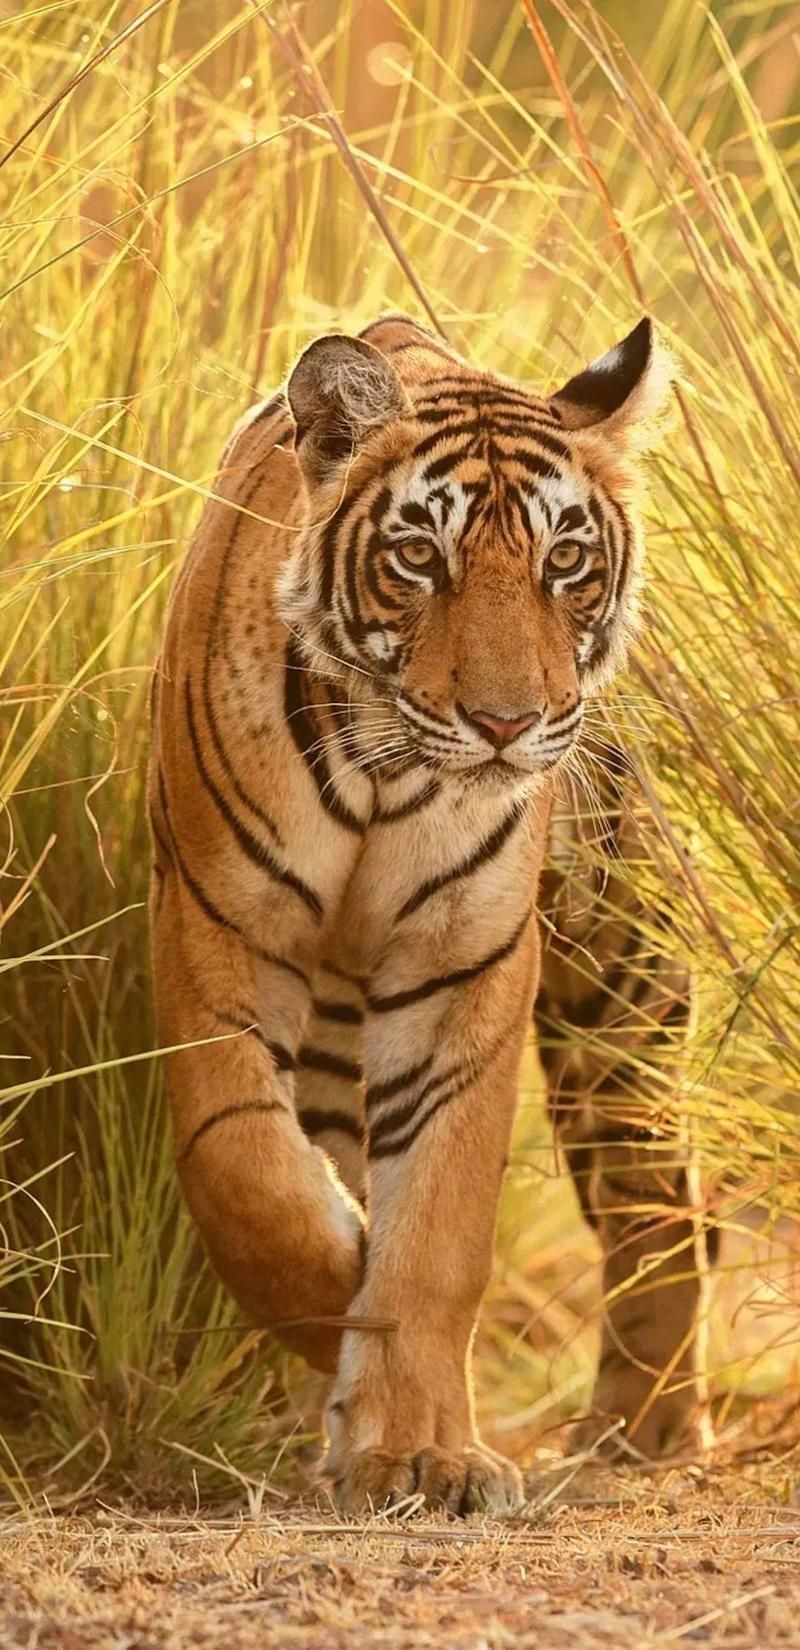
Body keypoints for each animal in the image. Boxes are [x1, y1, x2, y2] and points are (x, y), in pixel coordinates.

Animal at [148, 311, 710, 1516]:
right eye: (419, 559)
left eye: (563, 563)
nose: (506, 723)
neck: (383, 774)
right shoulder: (219, 923)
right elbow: (247, 1173)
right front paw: (342, 1311)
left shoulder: (465, 961)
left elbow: (440, 1219)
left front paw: (416, 1451)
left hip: (619, 987)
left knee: (660, 1203)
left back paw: (637, 1430)